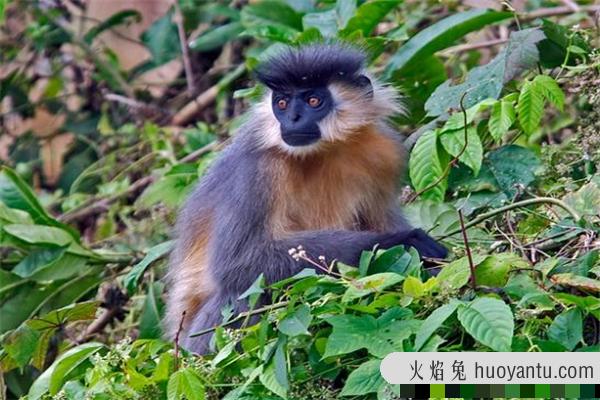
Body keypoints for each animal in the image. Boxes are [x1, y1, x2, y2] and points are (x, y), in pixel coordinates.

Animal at [163, 42, 446, 354]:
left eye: (313, 100)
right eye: (282, 104)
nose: (293, 119)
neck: (323, 152)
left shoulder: (385, 153)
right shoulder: (256, 170)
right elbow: (236, 264)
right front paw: (404, 241)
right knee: (243, 290)